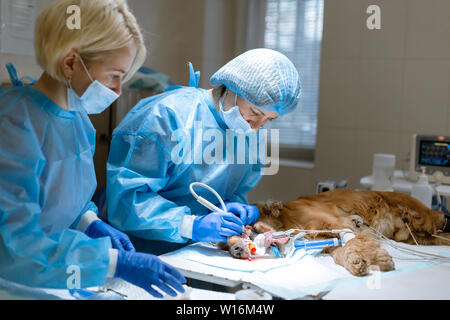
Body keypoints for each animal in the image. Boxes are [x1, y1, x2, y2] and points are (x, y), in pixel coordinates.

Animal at [221, 189, 450, 276]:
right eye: (224, 246)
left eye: (238, 225)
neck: (287, 218)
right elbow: (342, 251)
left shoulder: (344, 224)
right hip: (412, 236)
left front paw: (379, 259)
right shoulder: (328, 240)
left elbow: (353, 242)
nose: (236, 249)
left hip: (423, 219)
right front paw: (357, 262)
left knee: (439, 218)